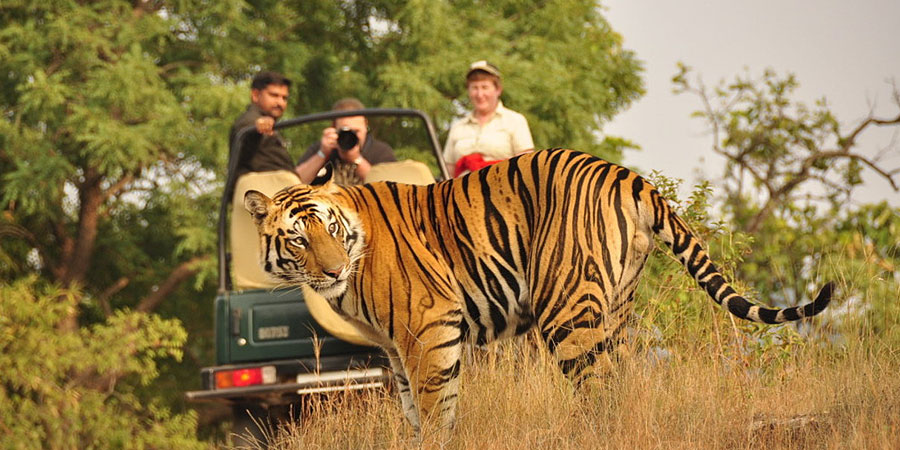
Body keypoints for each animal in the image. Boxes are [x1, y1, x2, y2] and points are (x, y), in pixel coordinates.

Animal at [243, 149, 832, 438]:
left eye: (330, 229)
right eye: (298, 239)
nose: (333, 270)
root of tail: (628, 175)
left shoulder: (429, 328)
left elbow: (435, 408)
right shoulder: (395, 347)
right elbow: (415, 407)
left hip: (566, 309)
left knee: (597, 390)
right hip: (615, 307)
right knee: (620, 383)